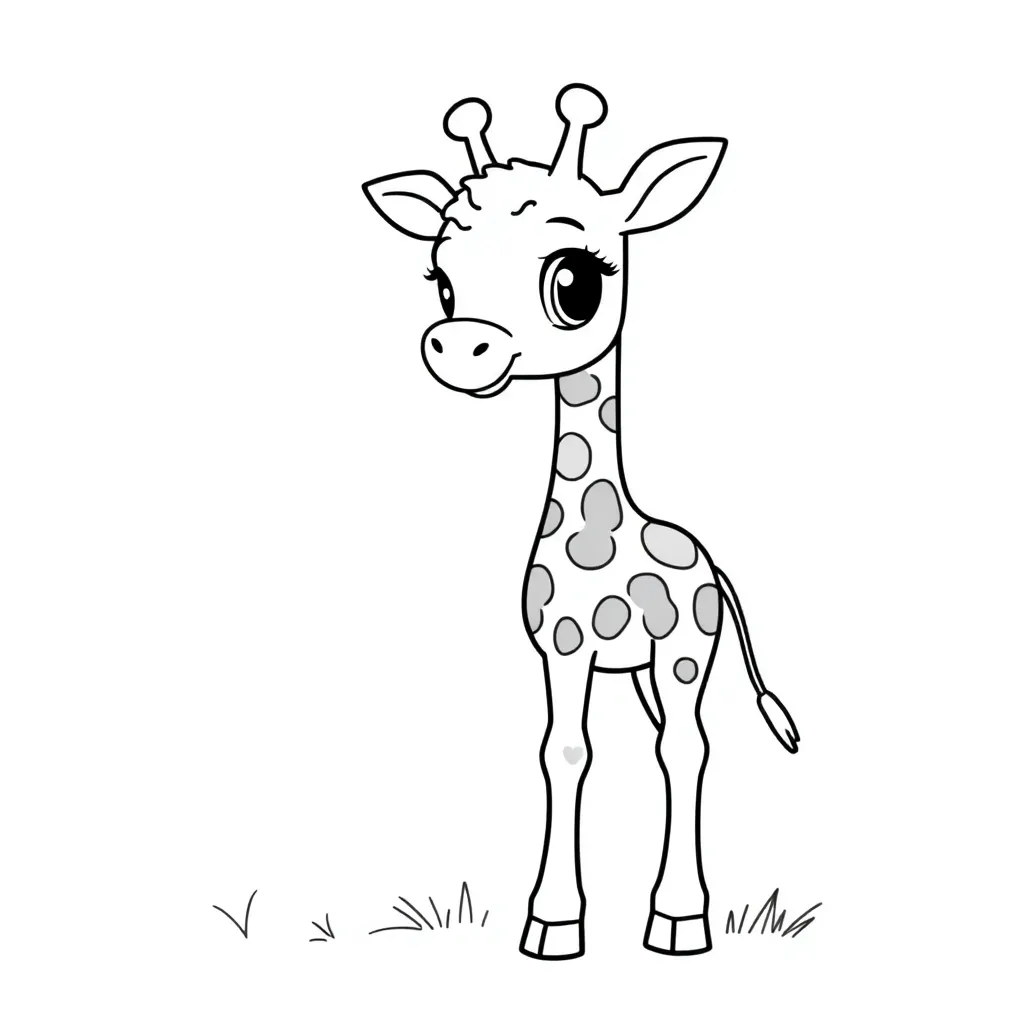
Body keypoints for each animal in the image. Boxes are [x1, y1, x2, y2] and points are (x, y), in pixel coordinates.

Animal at [362, 84, 801, 960]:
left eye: (576, 283)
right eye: (443, 281)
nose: (458, 346)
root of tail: (709, 562)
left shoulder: (596, 647)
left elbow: (622, 752)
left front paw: (602, 920)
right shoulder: (562, 650)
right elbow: (563, 751)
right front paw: (555, 921)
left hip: (685, 651)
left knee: (686, 746)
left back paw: (678, 917)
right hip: (643, 670)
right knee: (671, 743)